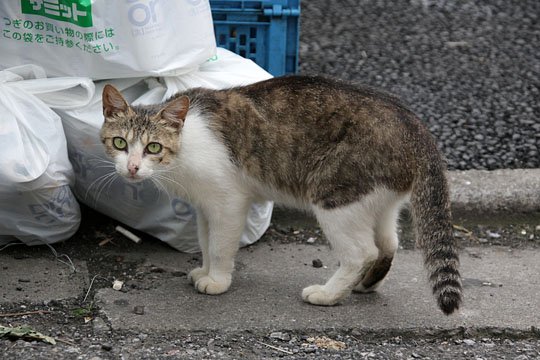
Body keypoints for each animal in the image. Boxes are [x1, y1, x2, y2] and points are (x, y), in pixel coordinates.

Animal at [99, 76, 462, 316]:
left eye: (153, 148)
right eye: (120, 143)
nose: (132, 168)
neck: (184, 147)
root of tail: (415, 124)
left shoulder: (227, 201)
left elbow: (218, 246)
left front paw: (217, 280)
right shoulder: (205, 206)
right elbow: (204, 240)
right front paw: (204, 271)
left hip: (335, 196)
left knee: (362, 252)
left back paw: (328, 294)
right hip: (377, 200)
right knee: (388, 243)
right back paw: (365, 284)